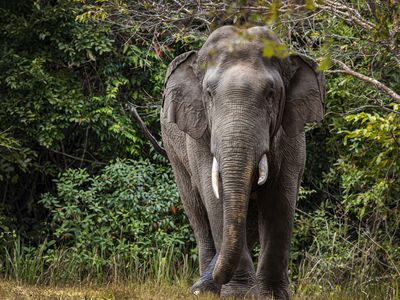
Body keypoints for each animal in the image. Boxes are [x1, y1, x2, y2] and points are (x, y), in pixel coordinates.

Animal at [159, 26, 324, 300]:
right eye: (209, 94)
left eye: (270, 95)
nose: (196, 286)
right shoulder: (200, 133)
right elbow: (214, 196)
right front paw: (239, 294)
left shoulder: (291, 134)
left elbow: (280, 200)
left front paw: (271, 295)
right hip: (173, 150)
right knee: (197, 212)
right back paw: (207, 289)